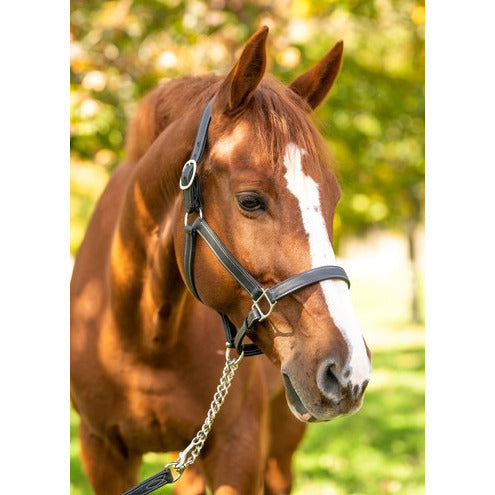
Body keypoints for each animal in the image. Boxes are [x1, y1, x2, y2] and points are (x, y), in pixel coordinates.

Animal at [70, 27, 372, 495]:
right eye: (250, 201)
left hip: (279, 447)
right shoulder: (102, 451)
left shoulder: (239, 447)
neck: (145, 337)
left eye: (334, 199)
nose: (349, 371)